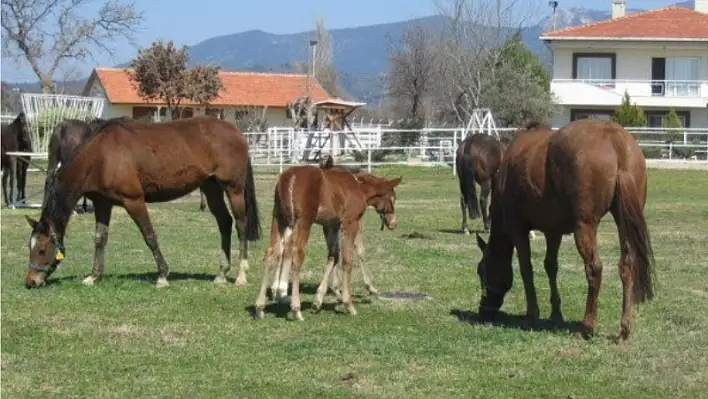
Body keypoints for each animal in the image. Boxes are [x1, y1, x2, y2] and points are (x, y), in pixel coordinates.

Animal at [24, 117, 264, 290]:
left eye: (42, 249)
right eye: (30, 246)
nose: (31, 281)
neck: (101, 157)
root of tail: (237, 133)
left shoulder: (134, 201)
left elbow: (149, 236)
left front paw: (162, 276)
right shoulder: (103, 204)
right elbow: (100, 238)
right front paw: (94, 276)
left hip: (233, 189)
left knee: (240, 225)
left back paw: (241, 275)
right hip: (211, 188)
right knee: (225, 222)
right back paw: (221, 273)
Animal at [254, 165, 402, 322]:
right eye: (392, 198)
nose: (393, 223)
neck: (359, 187)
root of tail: (289, 177)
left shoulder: (331, 225)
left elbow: (334, 256)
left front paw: (318, 301)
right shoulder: (350, 223)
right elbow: (348, 260)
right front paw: (348, 304)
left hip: (279, 220)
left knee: (271, 254)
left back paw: (260, 307)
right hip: (303, 222)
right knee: (296, 253)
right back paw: (296, 309)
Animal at [472, 120, 656, 342]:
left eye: (482, 270)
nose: (483, 310)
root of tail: (615, 138)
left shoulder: (518, 229)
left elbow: (526, 269)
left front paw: (532, 316)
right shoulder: (553, 232)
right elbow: (551, 266)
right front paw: (555, 314)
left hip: (584, 226)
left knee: (594, 269)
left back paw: (587, 326)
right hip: (622, 221)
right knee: (627, 265)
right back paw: (624, 327)